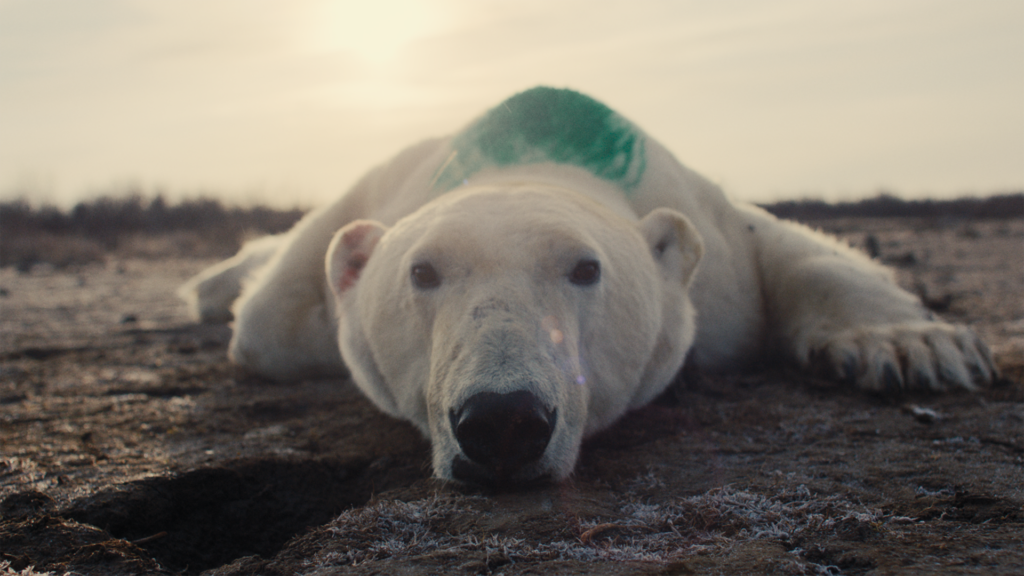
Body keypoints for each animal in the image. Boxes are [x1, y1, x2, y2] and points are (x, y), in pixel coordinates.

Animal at [180, 86, 997, 487]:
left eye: (585, 268)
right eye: (423, 271)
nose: (502, 418)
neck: (537, 146)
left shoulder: (708, 233)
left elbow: (779, 242)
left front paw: (915, 346)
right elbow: (274, 322)